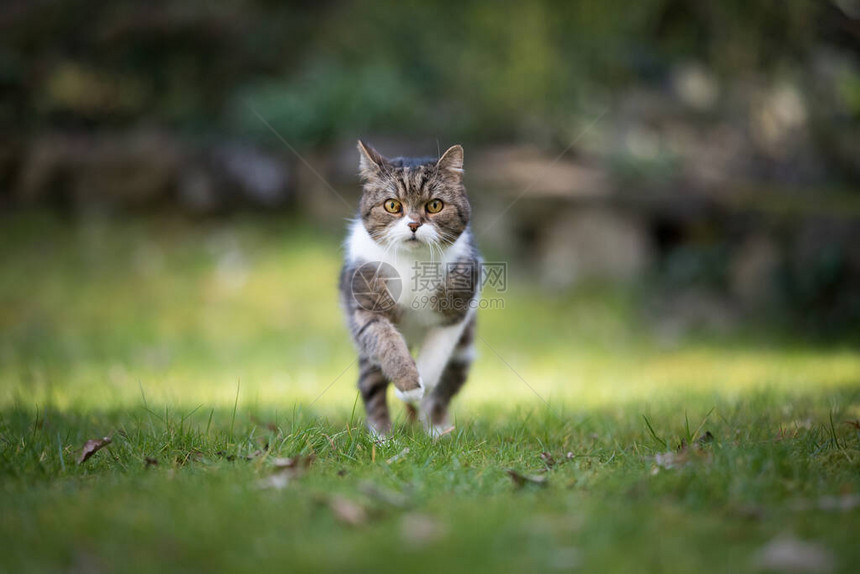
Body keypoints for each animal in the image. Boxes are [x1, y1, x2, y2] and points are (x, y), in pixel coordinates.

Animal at [340, 142, 480, 438]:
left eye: (435, 205)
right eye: (392, 205)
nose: (414, 224)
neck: (412, 262)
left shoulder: (457, 310)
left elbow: (435, 355)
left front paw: (419, 385)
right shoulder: (365, 305)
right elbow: (385, 340)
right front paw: (407, 384)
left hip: (463, 353)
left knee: (444, 390)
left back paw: (437, 430)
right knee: (371, 386)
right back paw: (382, 437)